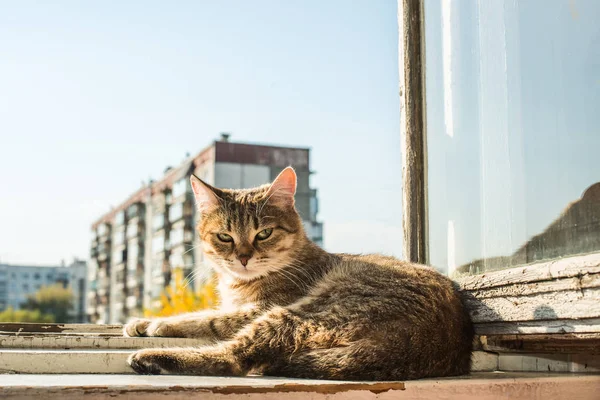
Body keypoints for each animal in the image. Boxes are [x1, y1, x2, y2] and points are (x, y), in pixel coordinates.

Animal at [126, 167, 474, 380]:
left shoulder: (258, 309)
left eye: (264, 234)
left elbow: (207, 319)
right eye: (224, 237)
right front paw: (141, 322)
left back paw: (152, 359)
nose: (243, 257)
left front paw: (156, 324)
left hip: (300, 313)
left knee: (234, 359)